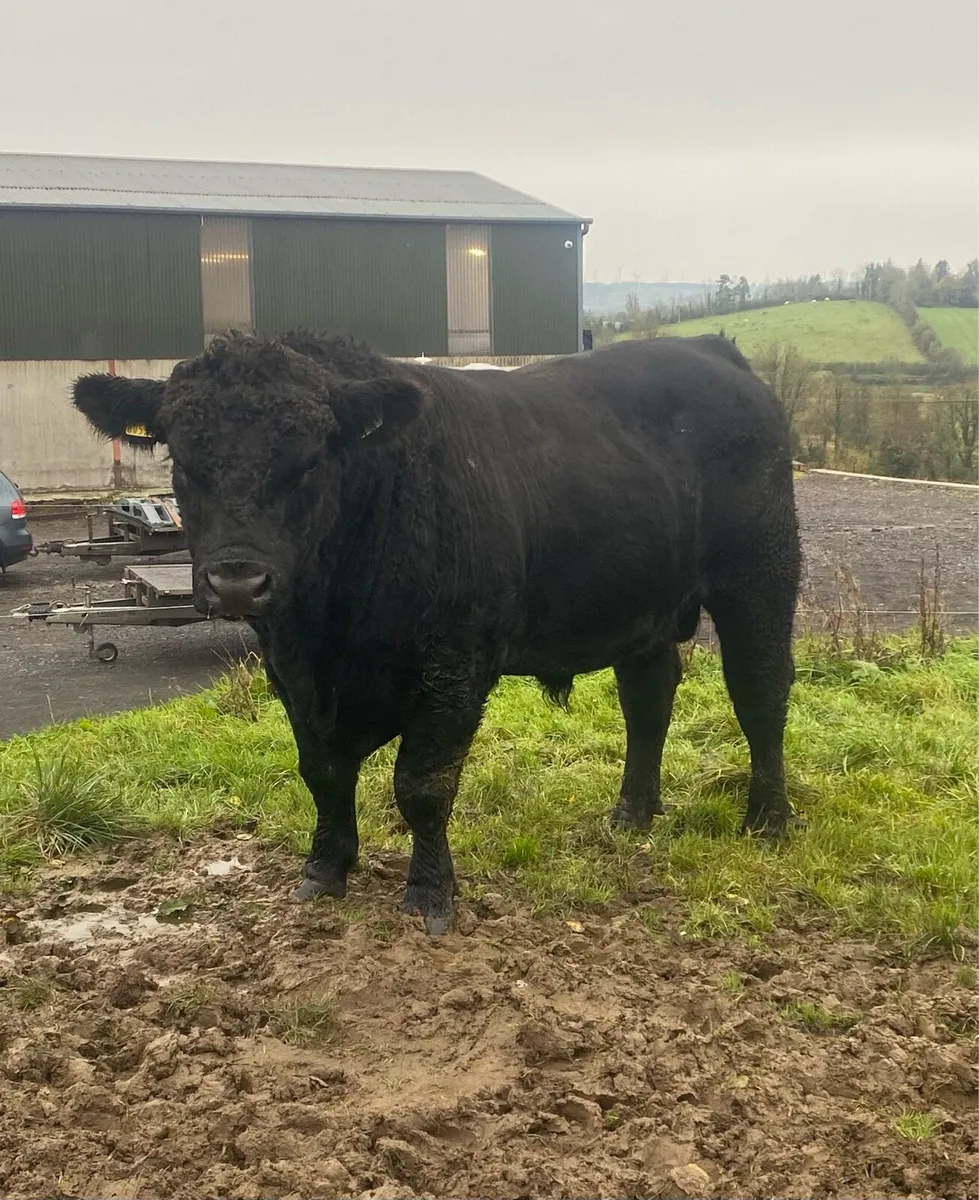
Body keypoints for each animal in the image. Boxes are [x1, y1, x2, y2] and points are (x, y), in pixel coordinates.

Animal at [72, 331, 802, 934]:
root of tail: (710, 350)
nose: (236, 582)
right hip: (640, 605)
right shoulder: (293, 673)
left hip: (760, 575)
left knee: (759, 691)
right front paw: (324, 871)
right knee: (648, 700)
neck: (329, 634)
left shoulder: (455, 666)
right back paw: (631, 814)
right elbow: (322, 772)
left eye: (309, 461)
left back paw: (766, 820)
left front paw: (429, 895)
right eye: (183, 459)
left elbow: (421, 786)